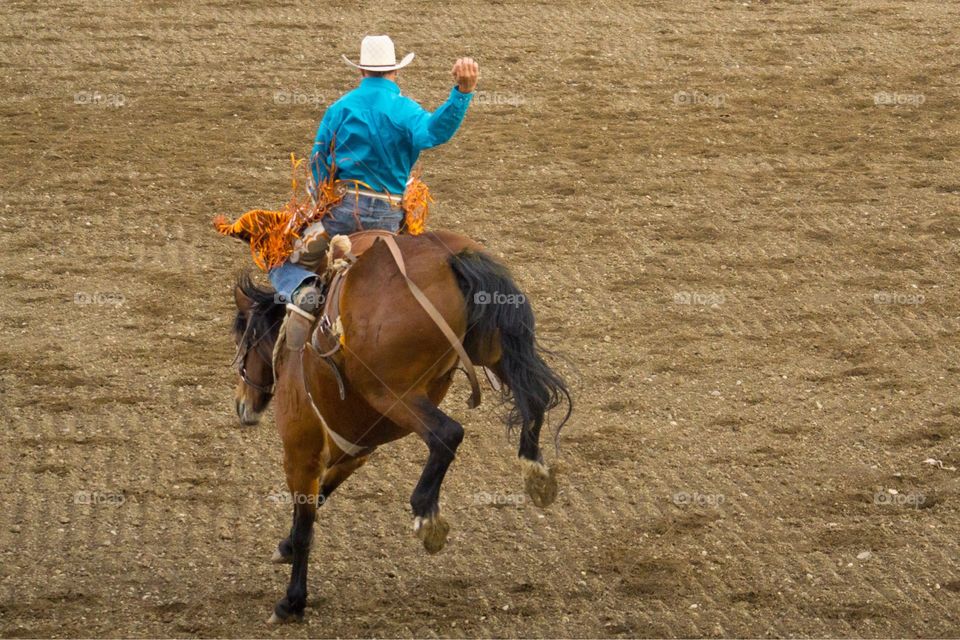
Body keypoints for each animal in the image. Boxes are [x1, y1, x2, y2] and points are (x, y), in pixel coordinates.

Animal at [230, 230, 572, 623]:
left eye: (242, 336)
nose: (242, 405)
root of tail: (450, 258)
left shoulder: (301, 449)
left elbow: (305, 521)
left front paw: (291, 601)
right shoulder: (355, 449)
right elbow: (319, 498)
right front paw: (285, 547)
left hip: (395, 393)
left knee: (448, 434)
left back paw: (427, 516)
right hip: (492, 352)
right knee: (535, 398)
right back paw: (536, 471)